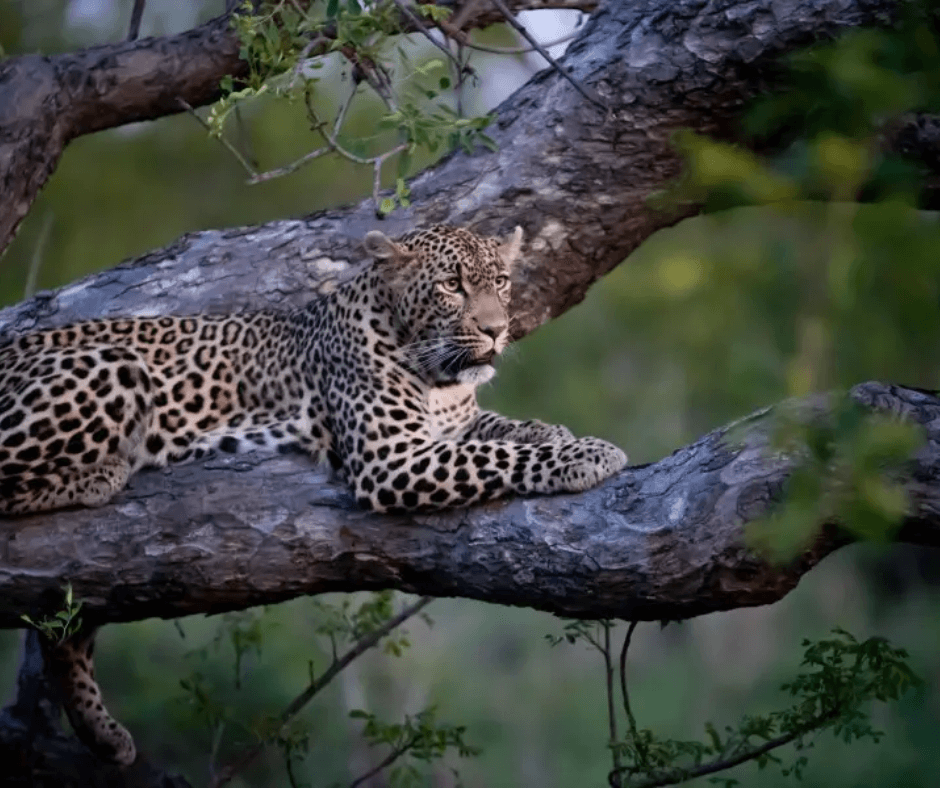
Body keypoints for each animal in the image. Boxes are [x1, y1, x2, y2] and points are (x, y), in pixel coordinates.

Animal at [0, 224, 627, 765]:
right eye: (452, 285)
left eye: (499, 280)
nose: (498, 330)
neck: (434, 371)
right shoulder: (392, 458)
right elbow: (497, 456)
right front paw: (588, 454)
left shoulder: (455, 424)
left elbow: (507, 429)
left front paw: (557, 433)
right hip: (112, 367)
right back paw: (103, 472)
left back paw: (102, 733)